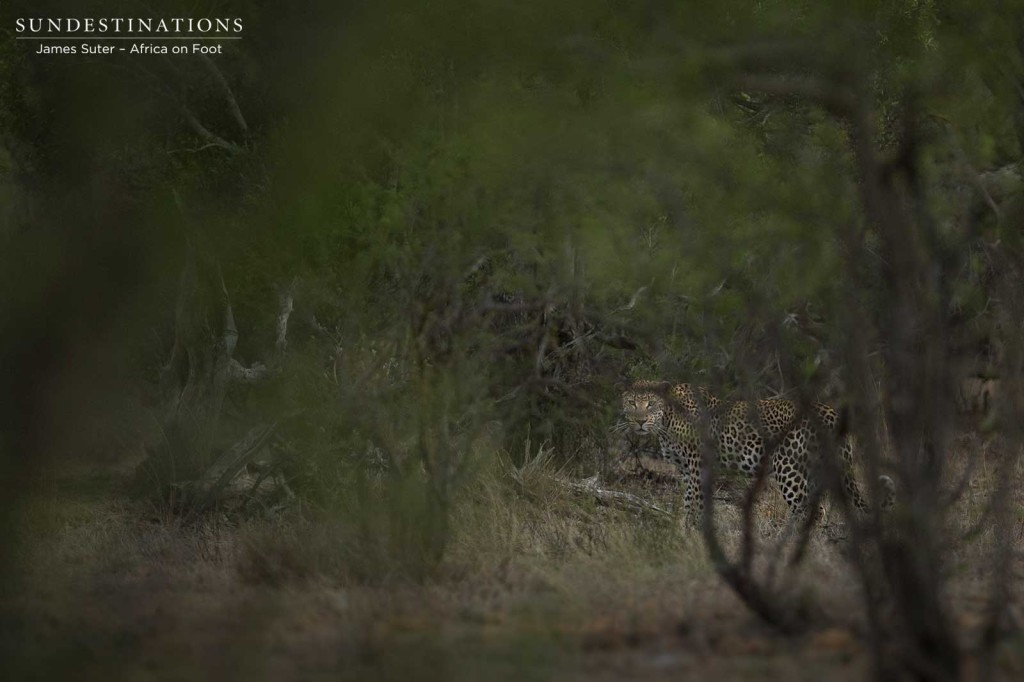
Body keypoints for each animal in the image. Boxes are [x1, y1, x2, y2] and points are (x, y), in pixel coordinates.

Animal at [614, 376, 897, 520]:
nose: (639, 421)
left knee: (808, 511)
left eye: (650, 404)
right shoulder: (685, 470)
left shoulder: (697, 467)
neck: (667, 420)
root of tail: (830, 412)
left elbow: (696, 505)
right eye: (632, 403)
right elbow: (687, 504)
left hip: (789, 470)